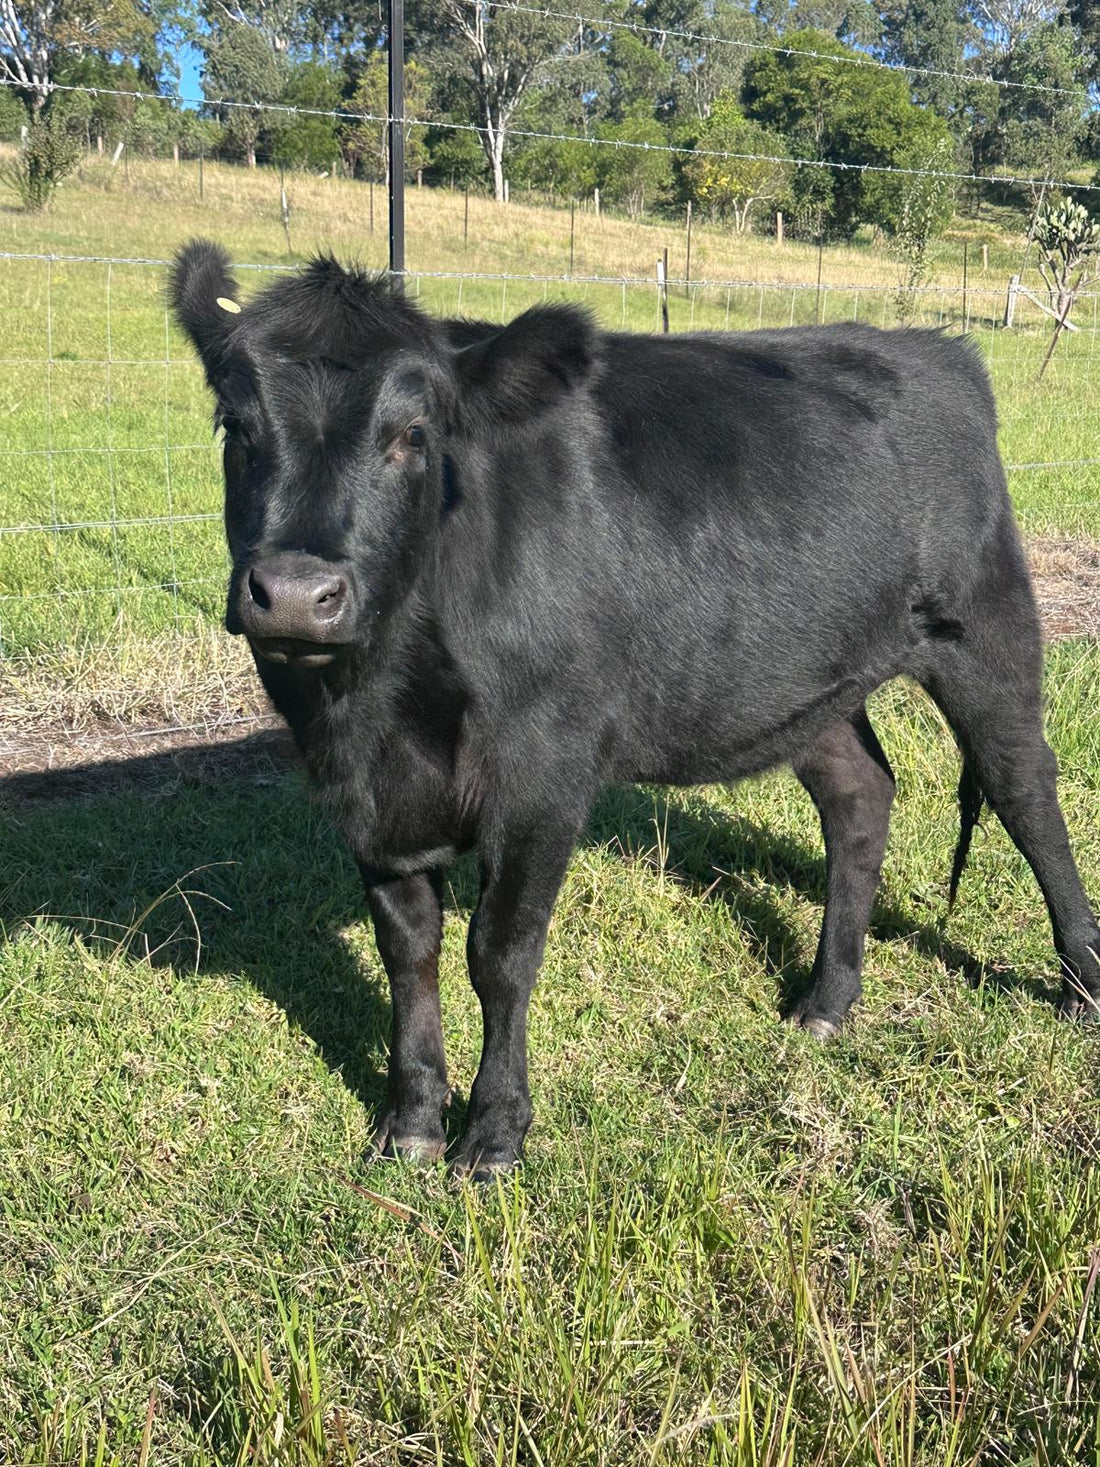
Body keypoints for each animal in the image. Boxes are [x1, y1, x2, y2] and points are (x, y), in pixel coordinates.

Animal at [171, 240, 1100, 1180]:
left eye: (413, 435)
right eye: (234, 427)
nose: (294, 593)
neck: (381, 705)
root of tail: (935, 348)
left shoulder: (544, 771)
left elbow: (499, 953)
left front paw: (495, 1132)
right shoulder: (370, 797)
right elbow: (409, 951)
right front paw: (411, 1121)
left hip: (984, 630)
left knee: (1027, 794)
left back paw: (1080, 984)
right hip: (807, 680)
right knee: (860, 795)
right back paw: (827, 999)